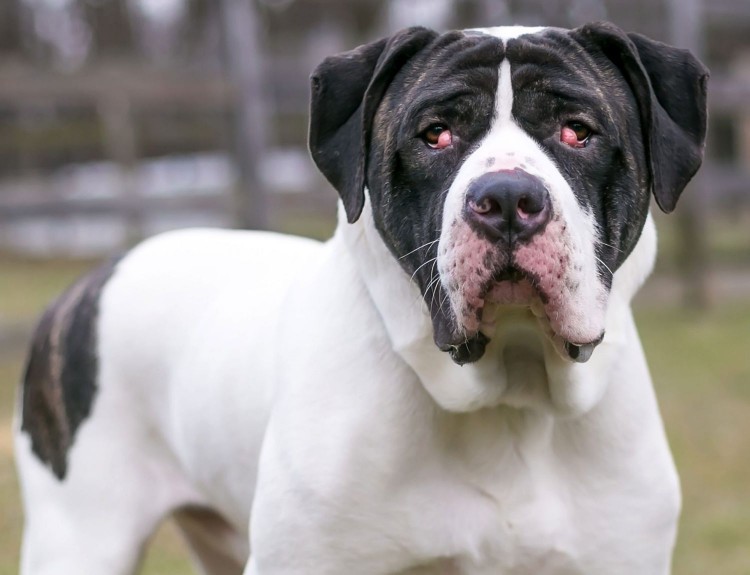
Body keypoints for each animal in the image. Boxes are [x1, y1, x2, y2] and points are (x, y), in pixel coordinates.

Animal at [13, 20, 712, 575]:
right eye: (435, 135)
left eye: (576, 132)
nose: (509, 197)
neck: (510, 395)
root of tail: (97, 275)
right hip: (80, 539)